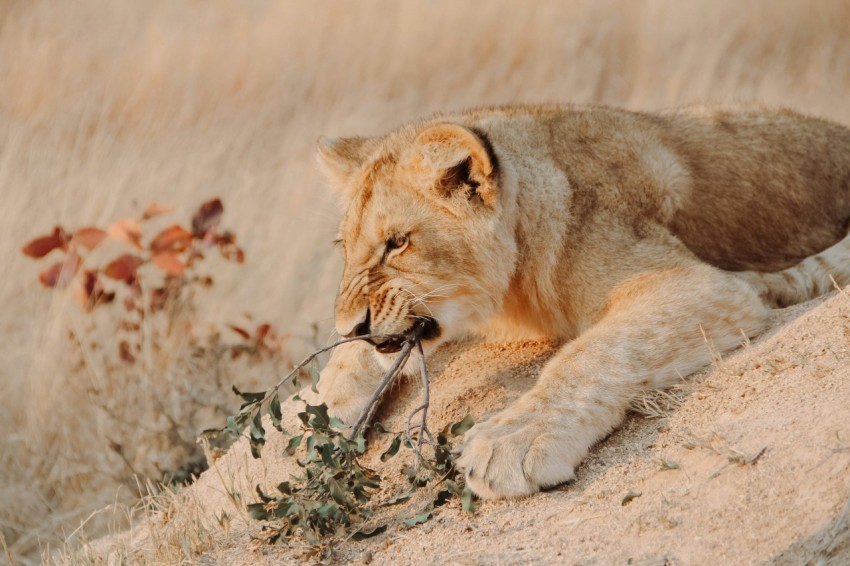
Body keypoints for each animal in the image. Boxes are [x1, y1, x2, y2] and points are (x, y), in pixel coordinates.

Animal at [311, 103, 850, 499]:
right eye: (345, 247)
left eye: (398, 243)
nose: (350, 327)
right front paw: (326, 402)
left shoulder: (690, 282)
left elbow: (592, 354)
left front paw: (513, 439)